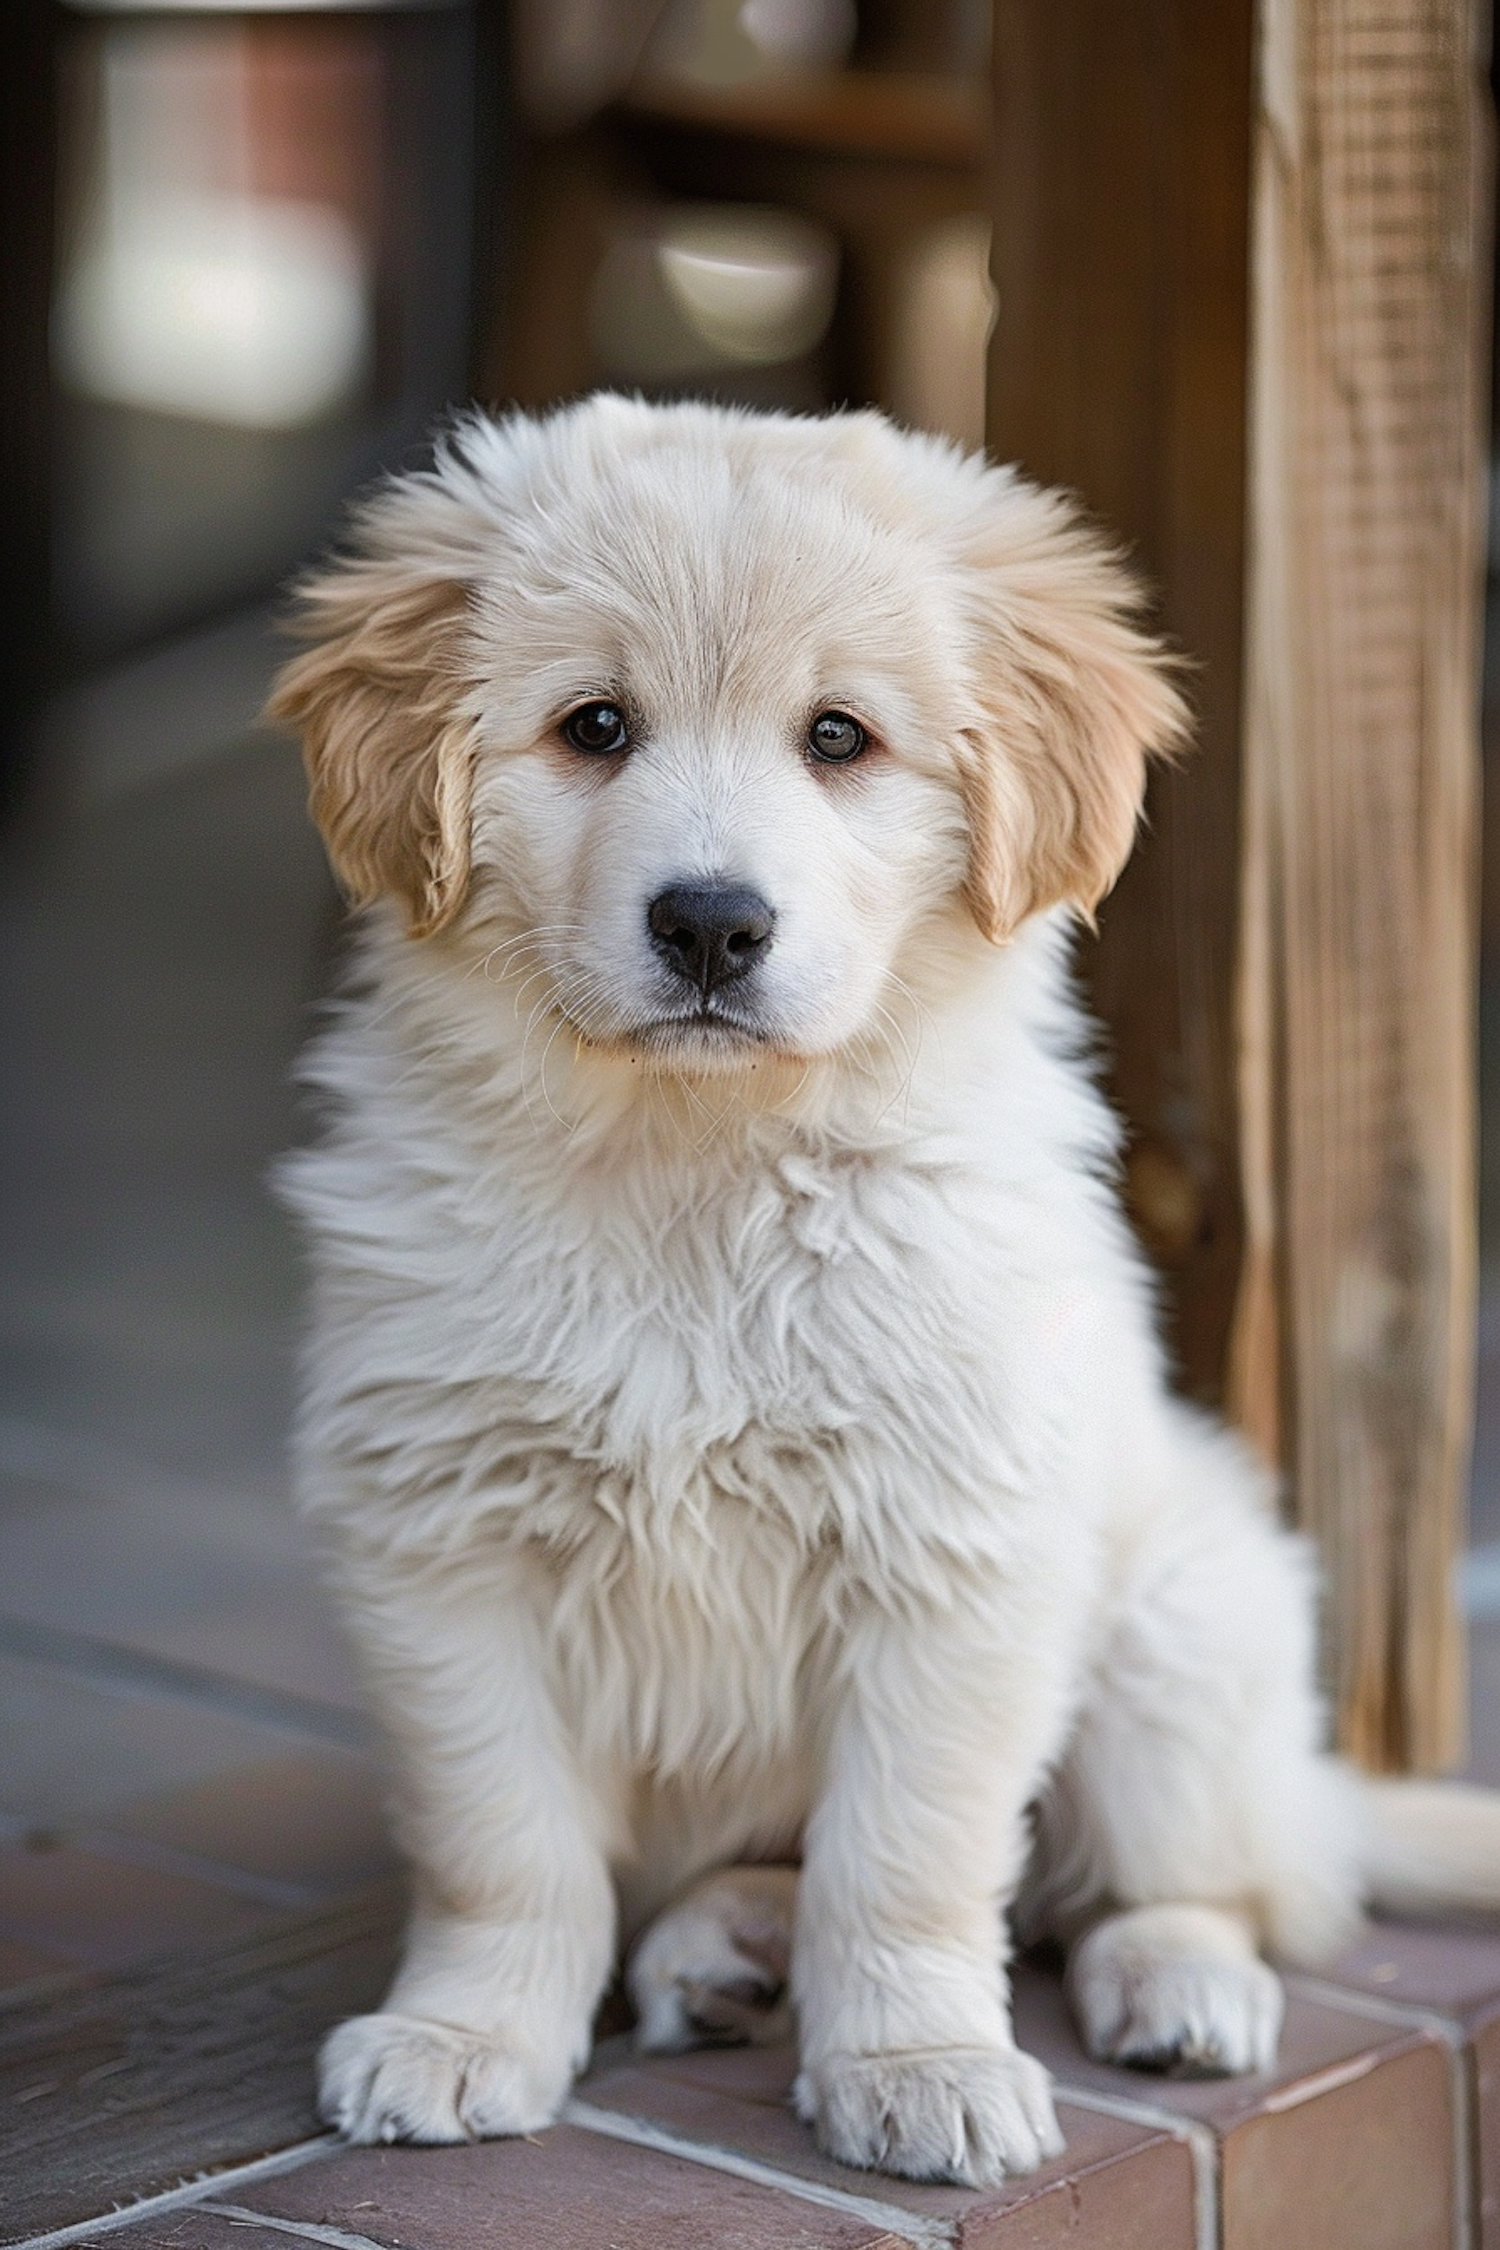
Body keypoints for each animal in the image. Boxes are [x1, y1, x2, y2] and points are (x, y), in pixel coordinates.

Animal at [273, 396, 1500, 2187]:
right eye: (594, 727)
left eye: (840, 739)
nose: (712, 924)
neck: (703, 1171)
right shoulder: (442, 1542)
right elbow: (507, 1842)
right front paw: (466, 2031)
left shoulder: (954, 1556)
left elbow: (907, 1854)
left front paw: (919, 2062)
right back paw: (722, 1946)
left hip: (1182, 1626)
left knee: (1200, 1882)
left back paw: (1178, 1983)